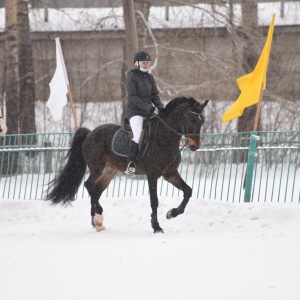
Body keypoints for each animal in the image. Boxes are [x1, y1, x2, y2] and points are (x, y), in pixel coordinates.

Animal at [46, 96, 209, 232]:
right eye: (192, 120)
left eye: (202, 121)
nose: (194, 146)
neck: (164, 139)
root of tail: (90, 133)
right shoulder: (152, 175)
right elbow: (154, 201)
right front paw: (156, 227)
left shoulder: (170, 174)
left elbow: (188, 191)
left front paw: (172, 213)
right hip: (97, 168)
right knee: (89, 185)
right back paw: (98, 215)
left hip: (109, 172)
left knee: (96, 191)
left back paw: (97, 222)